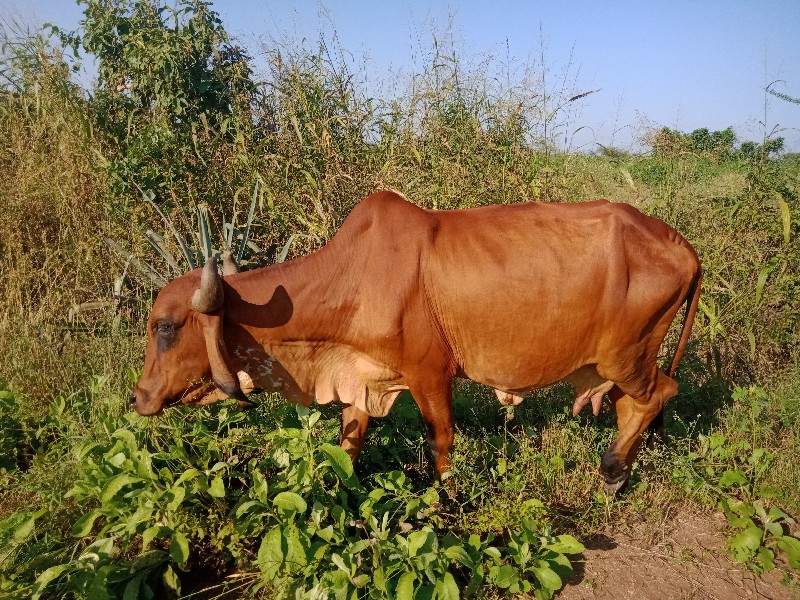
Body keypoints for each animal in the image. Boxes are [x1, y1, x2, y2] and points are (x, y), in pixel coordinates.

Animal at [131, 192, 700, 492]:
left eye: (165, 327)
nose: (139, 397)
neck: (357, 277)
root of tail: (683, 247)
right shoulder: (364, 378)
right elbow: (349, 442)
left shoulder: (431, 375)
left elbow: (440, 443)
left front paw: (447, 500)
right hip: (619, 362)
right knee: (633, 404)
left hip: (627, 356)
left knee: (658, 394)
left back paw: (612, 471)